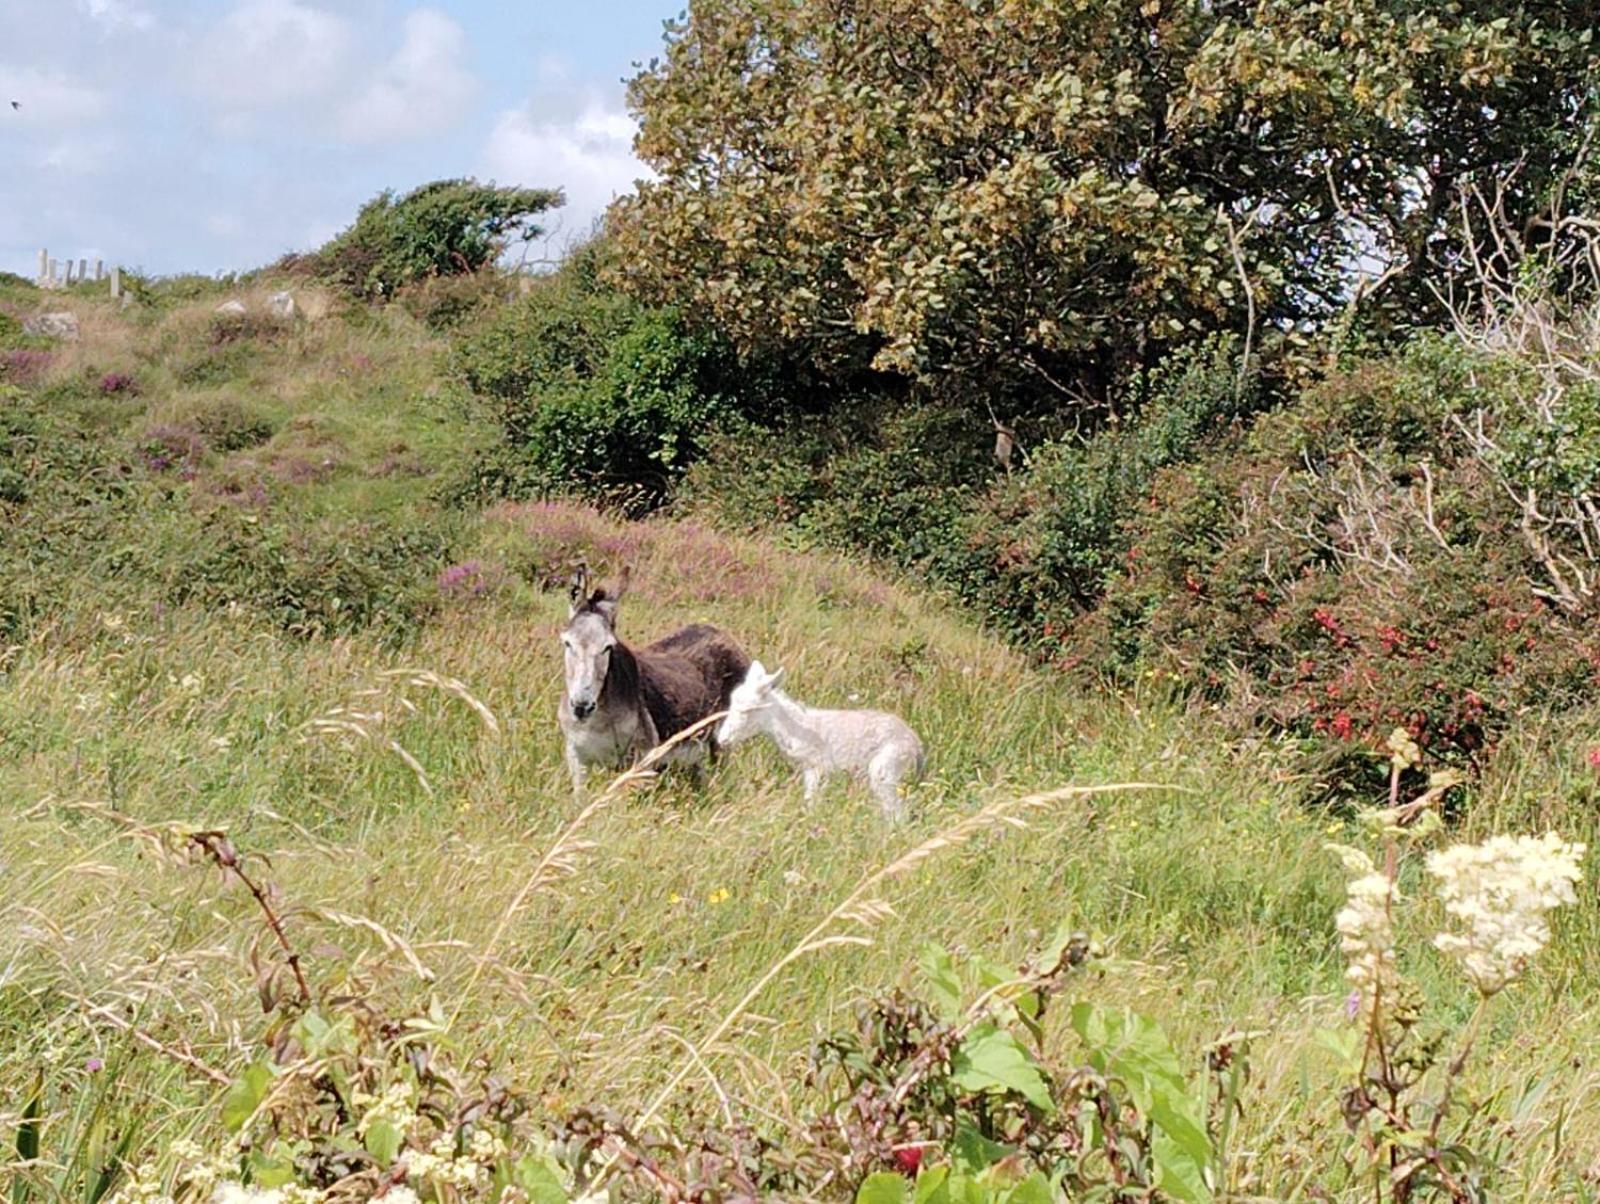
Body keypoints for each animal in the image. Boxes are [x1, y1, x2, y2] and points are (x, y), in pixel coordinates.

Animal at [716, 659, 928, 819]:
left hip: (885, 770)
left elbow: (810, 801)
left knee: (896, 812)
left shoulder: (815, 767)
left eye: (749, 710)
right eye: (732, 702)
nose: (722, 739)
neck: (794, 727)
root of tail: (916, 744)